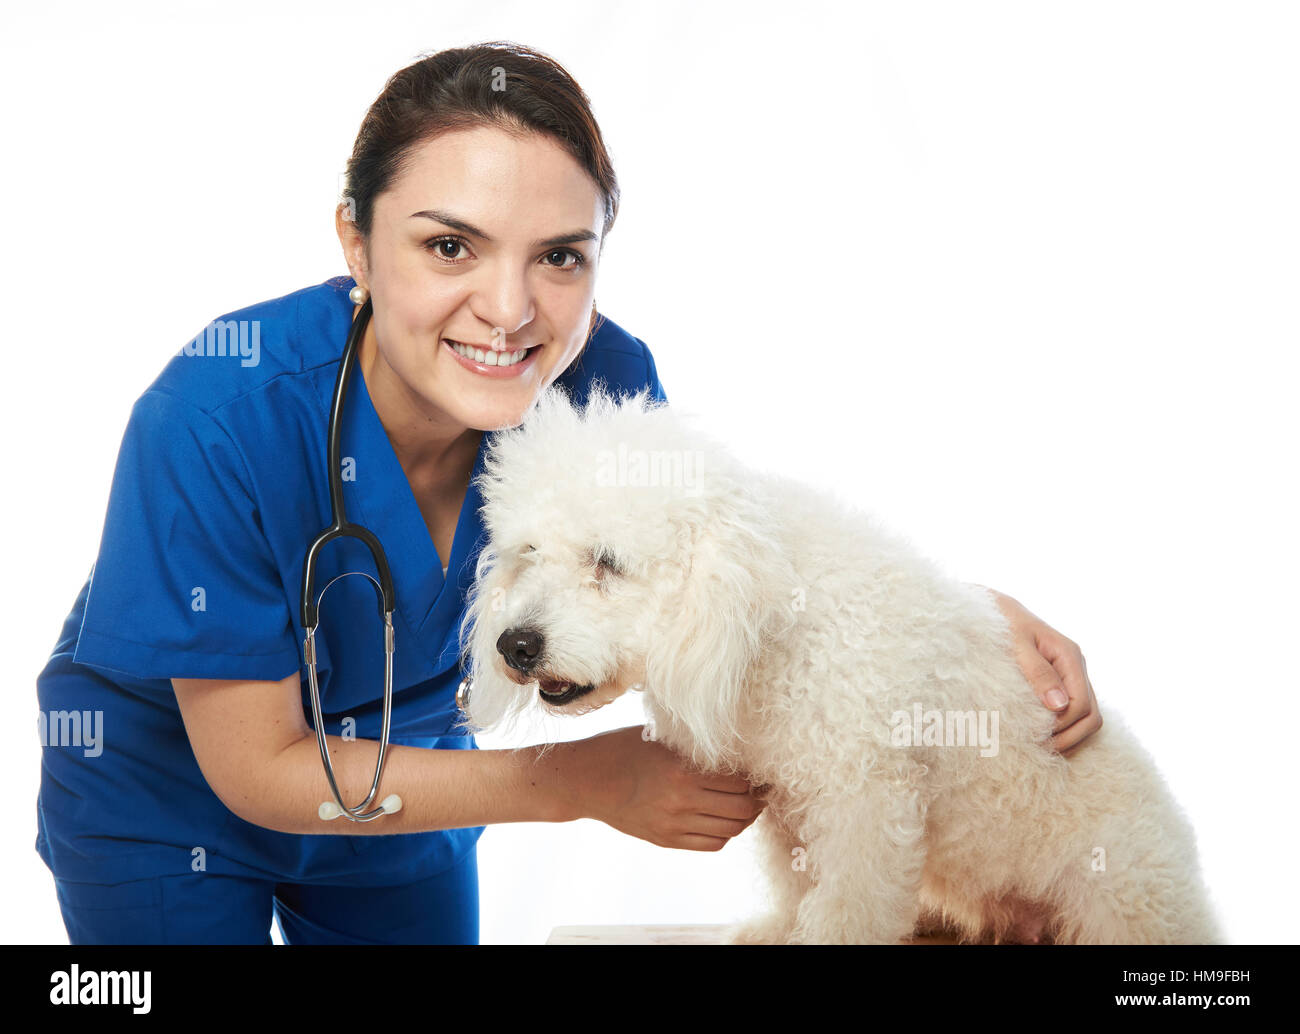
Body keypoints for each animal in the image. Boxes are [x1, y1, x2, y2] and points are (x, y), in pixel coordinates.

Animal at [457, 382, 1216, 946]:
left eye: (607, 562)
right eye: (528, 553)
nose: (514, 645)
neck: (768, 619)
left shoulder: (866, 804)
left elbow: (849, 904)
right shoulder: (790, 806)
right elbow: (799, 885)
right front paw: (778, 930)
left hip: (1126, 895)